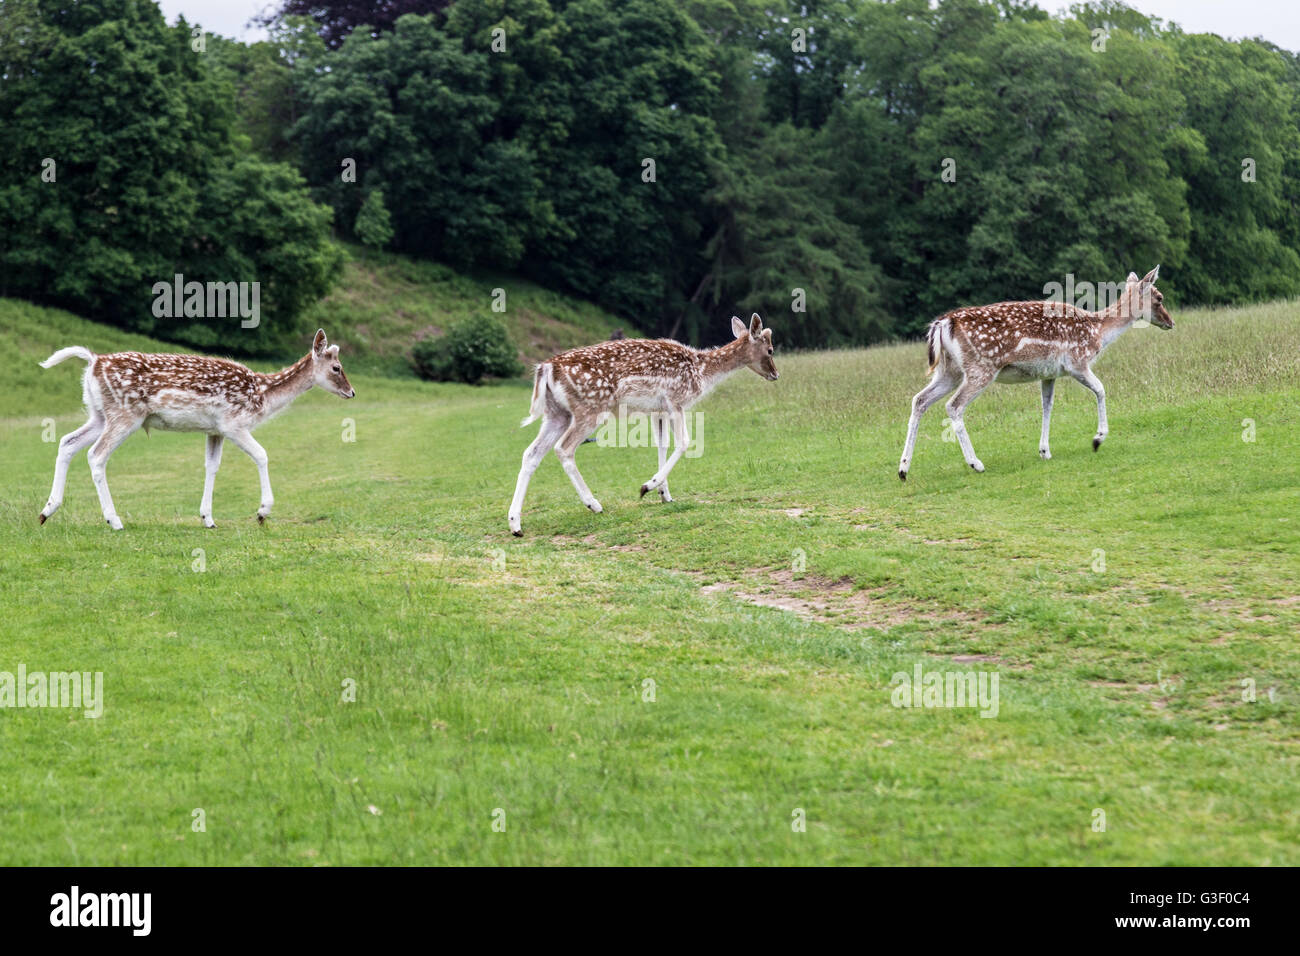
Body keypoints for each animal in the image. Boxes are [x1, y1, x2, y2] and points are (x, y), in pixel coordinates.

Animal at [40, 329, 356, 530]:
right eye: (337, 368)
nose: (352, 392)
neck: (262, 396)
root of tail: (93, 361)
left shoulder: (214, 430)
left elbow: (211, 466)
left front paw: (208, 519)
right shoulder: (233, 423)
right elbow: (262, 455)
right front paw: (262, 513)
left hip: (98, 414)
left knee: (67, 442)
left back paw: (46, 511)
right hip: (125, 414)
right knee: (96, 455)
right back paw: (114, 520)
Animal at [506, 316, 774, 535]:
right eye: (770, 349)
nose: (775, 375)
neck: (701, 372)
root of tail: (545, 368)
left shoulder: (658, 410)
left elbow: (662, 445)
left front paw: (665, 495)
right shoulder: (675, 400)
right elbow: (684, 442)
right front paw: (648, 486)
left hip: (556, 414)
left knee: (531, 453)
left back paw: (515, 524)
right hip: (590, 408)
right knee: (564, 449)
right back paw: (594, 505)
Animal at [899, 265, 1175, 478]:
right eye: (1160, 297)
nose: (1171, 322)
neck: (1098, 331)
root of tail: (943, 323)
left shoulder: (1049, 373)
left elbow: (1047, 406)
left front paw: (1044, 451)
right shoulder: (1076, 362)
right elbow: (1100, 389)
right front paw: (1098, 438)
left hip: (949, 371)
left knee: (919, 400)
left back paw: (903, 469)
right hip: (981, 367)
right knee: (954, 405)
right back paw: (976, 464)